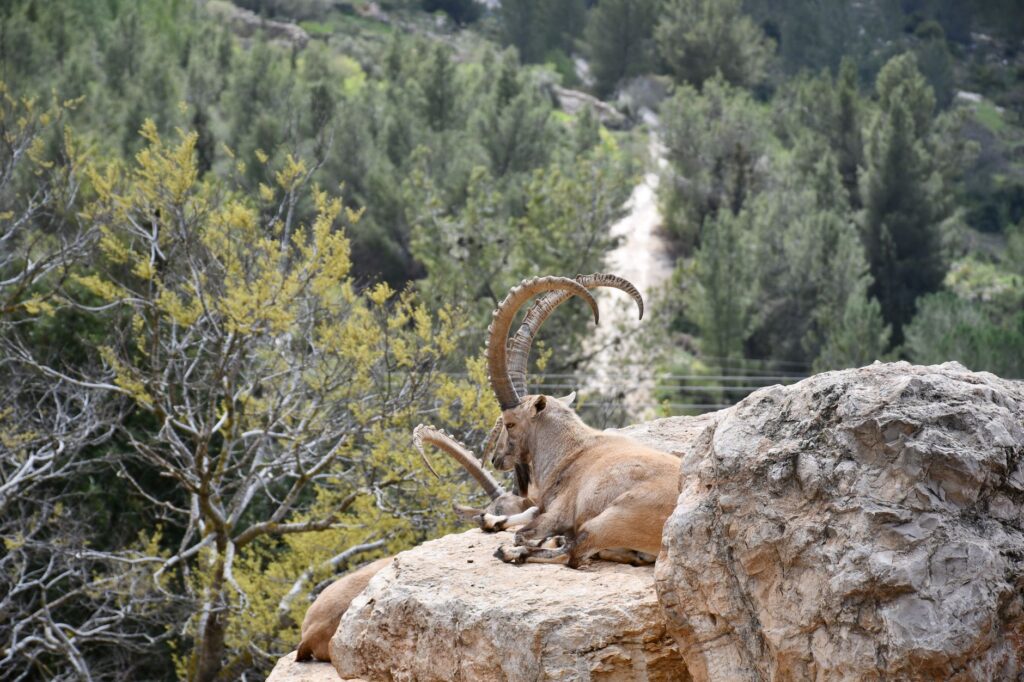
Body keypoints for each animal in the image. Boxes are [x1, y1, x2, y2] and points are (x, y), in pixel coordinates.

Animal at [483, 275, 679, 568]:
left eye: (509, 423)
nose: (496, 459)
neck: (570, 452)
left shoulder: (558, 513)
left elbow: (526, 531)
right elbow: (528, 511)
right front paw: (490, 519)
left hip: (612, 519)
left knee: (573, 553)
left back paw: (512, 551)